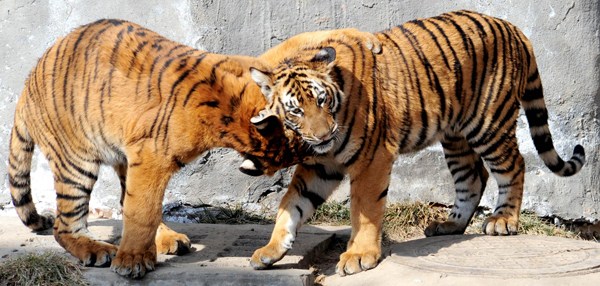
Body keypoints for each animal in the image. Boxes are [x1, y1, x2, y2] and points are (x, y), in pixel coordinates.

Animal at [247, 10, 584, 276]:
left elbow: (364, 209)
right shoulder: (320, 166)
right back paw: (450, 225)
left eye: (321, 100)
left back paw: (502, 221)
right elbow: (291, 204)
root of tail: (515, 28)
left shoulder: (373, 157)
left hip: (489, 123)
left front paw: (359, 256)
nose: (324, 135)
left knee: (514, 165)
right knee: (474, 177)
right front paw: (270, 250)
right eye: (295, 110)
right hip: (456, 135)